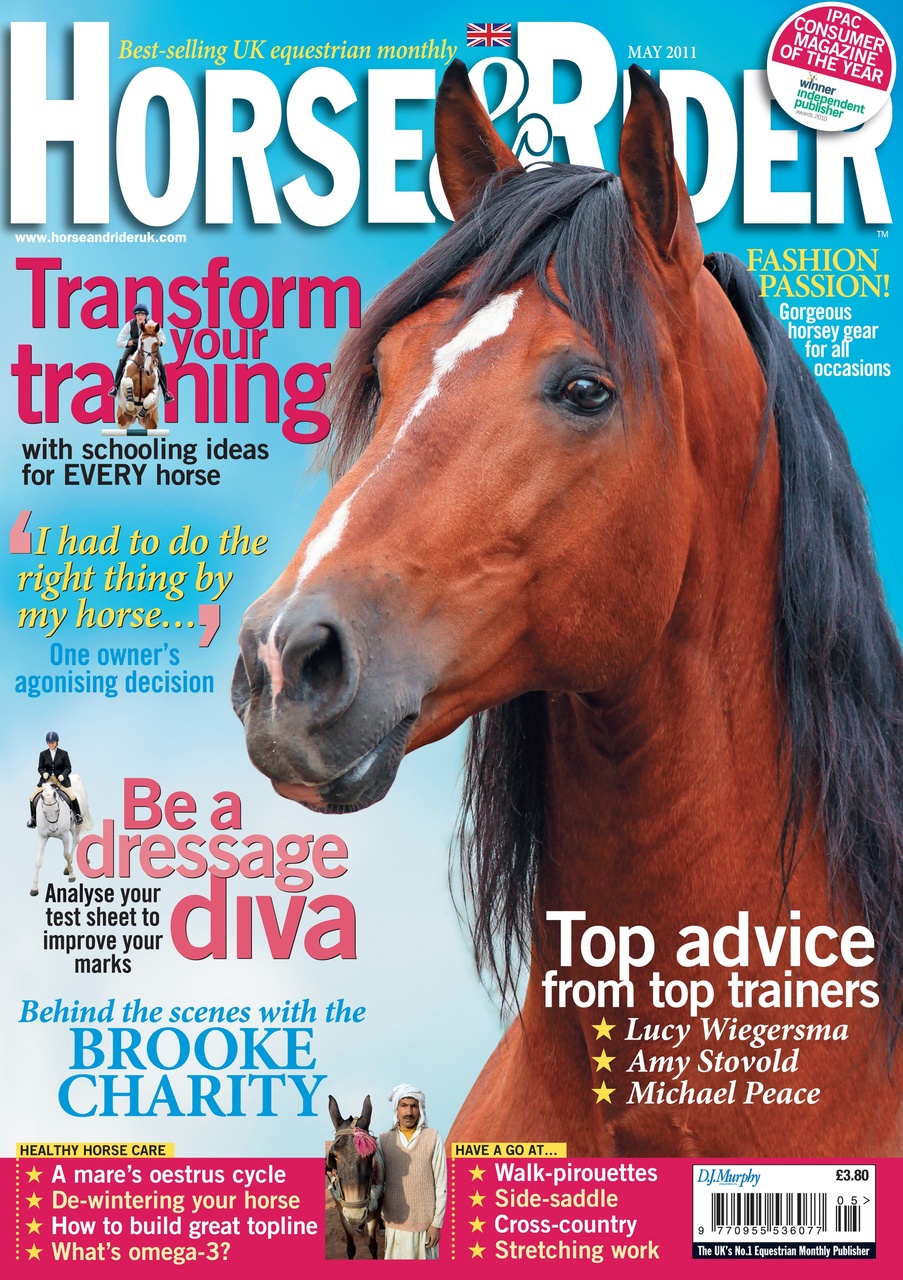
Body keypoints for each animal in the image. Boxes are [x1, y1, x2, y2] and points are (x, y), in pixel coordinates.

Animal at [325, 1095, 382, 1259]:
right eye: (334, 1155)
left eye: (370, 1154)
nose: (355, 1214)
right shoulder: (342, 1214)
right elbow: (350, 1248)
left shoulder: (373, 1213)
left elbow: (373, 1246)